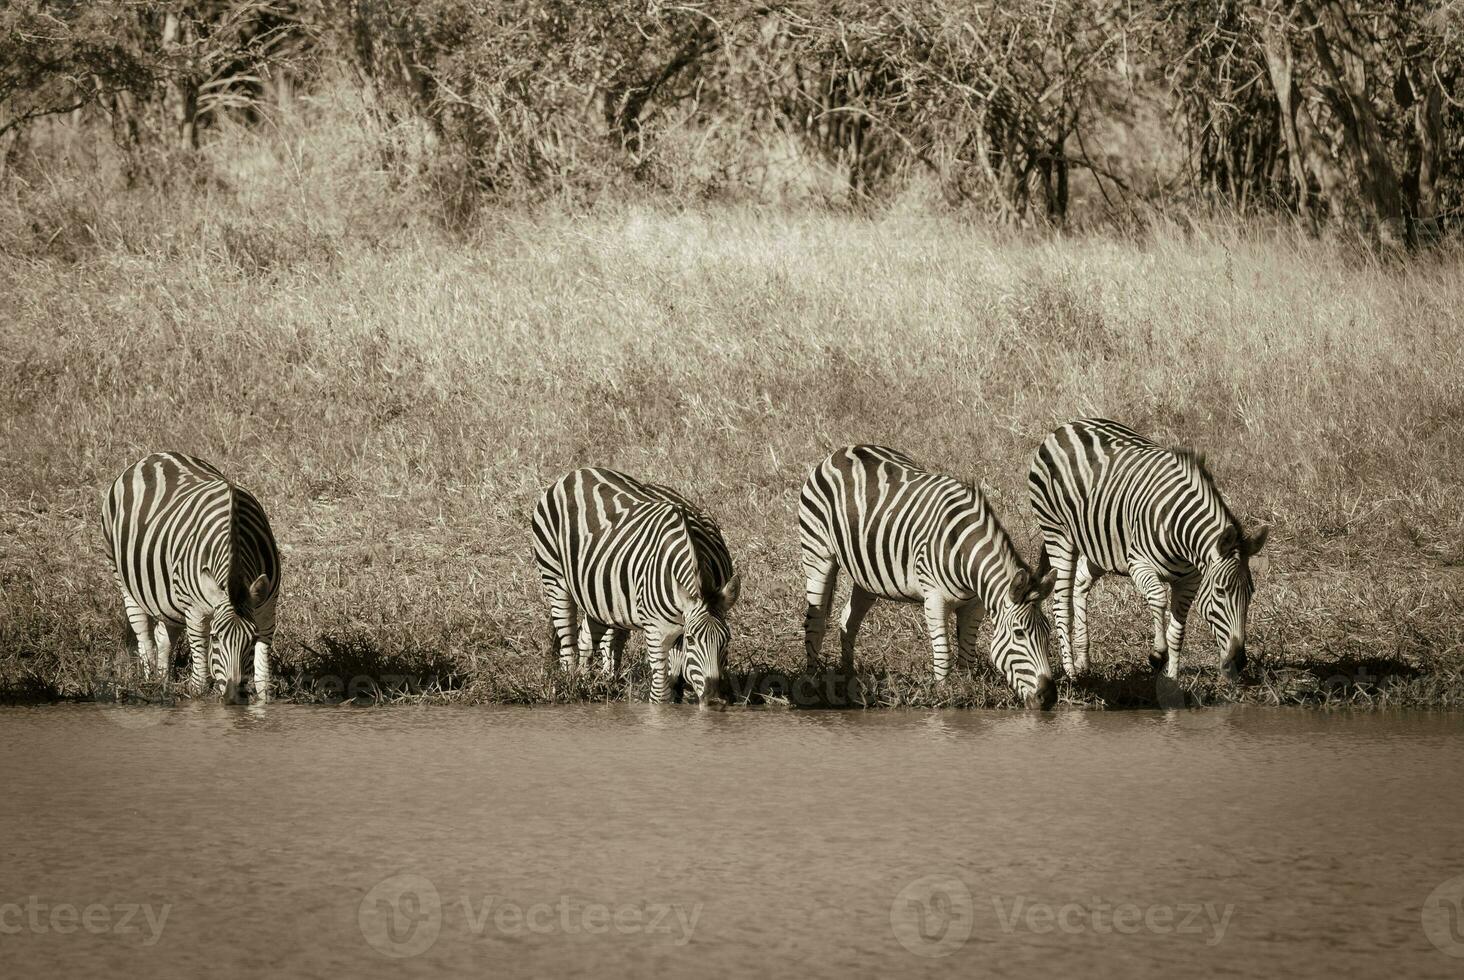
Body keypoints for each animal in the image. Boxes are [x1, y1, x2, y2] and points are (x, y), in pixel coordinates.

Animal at [100, 454, 279, 700]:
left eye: (251, 639)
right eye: (215, 637)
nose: (233, 696)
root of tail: (153, 456)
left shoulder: (266, 611)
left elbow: (263, 682)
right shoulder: (195, 613)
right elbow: (200, 681)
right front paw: (197, 701)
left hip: (168, 599)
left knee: (163, 636)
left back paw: (163, 682)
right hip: (124, 580)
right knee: (144, 637)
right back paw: (149, 682)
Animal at [529, 468, 743, 703]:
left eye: (727, 639)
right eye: (692, 639)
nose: (714, 699)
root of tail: (577, 472)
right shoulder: (657, 632)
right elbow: (660, 694)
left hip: (600, 594)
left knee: (586, 637)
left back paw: (590, 685)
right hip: (554, 577)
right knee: (567, 641)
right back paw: (571, 688)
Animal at [802, 448, 1054, 706]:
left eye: (1048, 633)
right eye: (1019, 633)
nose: (1049, 697)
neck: (963, 551)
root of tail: (843, 451)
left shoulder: (975, 605)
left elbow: (966, 654)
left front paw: (967, 690)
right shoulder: (934, 599)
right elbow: (943, 654)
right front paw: (944, 697)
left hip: (867, 574)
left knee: (848, 620)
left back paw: (851, 680)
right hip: (818, 555)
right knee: (816, 623)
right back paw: (812, 681)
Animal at [1030, 418, 1270, 679]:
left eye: (1251, 592)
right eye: (1220, 591)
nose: (1239, 662)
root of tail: (1066, 426)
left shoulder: (1190, 580)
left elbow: (1178, 633)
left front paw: (1172, 676)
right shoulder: (1139, 564)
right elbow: (1158, 598)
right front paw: (1157, 655)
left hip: (1101, 544)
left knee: (1082, 582)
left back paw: (1083, 660)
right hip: (1057, 534)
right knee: (1061, 603)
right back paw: (1071, 672)